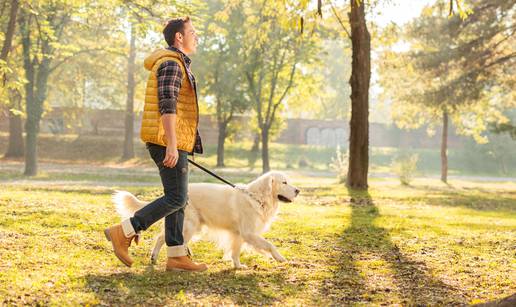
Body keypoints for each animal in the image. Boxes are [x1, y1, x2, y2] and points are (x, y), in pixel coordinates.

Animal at [111, 171, 300, 270]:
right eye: (284, 182)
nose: (298, 190)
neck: (257, 197)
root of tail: (174, 195)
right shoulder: (248, 232)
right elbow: (269, 245)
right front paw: (280, 258)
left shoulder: (238, 234)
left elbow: (236, 251)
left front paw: (238, 266)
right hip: (190, 225)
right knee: (163, 239)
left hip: (191, 226)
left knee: (166, 238)